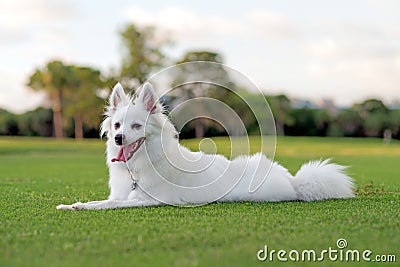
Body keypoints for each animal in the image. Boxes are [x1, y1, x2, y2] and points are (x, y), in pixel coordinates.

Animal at [55, 82, 354, 210]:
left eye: (137, 127)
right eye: (117, 126)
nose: (118, 138)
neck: (140, 165)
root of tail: (294, 181)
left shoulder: (149, 200)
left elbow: (108, 205)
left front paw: (83, 207)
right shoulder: (122, 194)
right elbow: (102, 201)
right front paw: (73, 205)